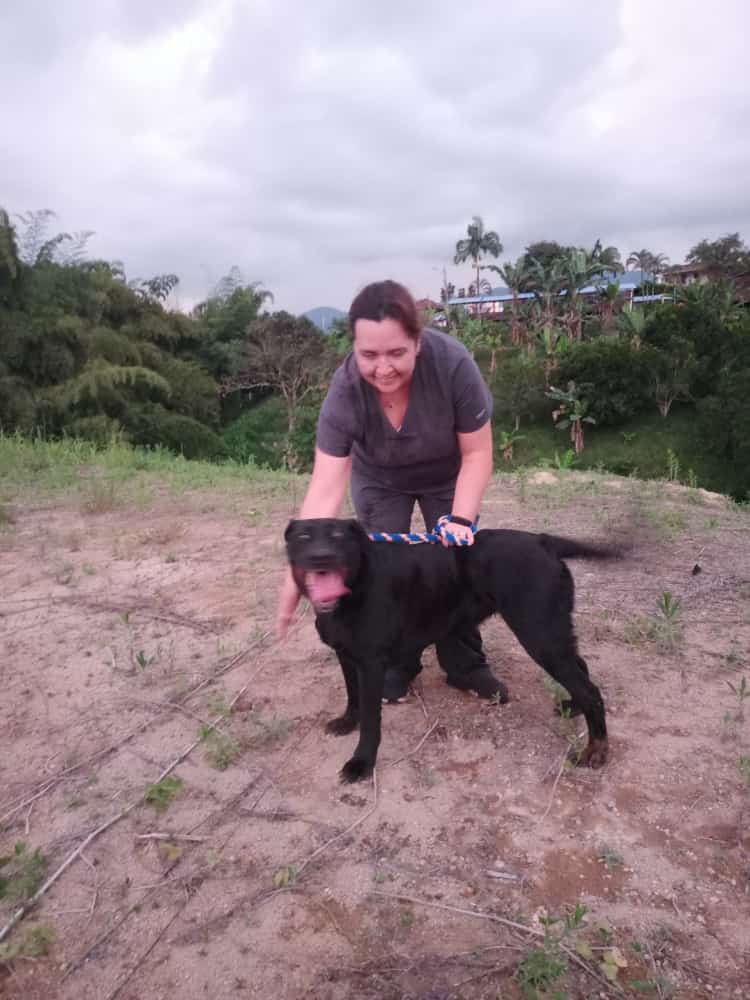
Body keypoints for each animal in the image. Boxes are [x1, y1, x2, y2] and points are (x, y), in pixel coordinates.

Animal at [284, 517, 621, 783]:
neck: (355, 585)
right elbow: (352, 697)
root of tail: (543, 540)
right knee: (583, 672)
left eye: (338, 535)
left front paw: (361, 763)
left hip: (539, 634)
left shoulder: (370, 664)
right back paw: (573, 708)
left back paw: (596, 750)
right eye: (303, 537)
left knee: (590, 689)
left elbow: (371, 721)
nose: (321, 557)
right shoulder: (346, 656)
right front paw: (347, 722)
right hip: (552, 633)